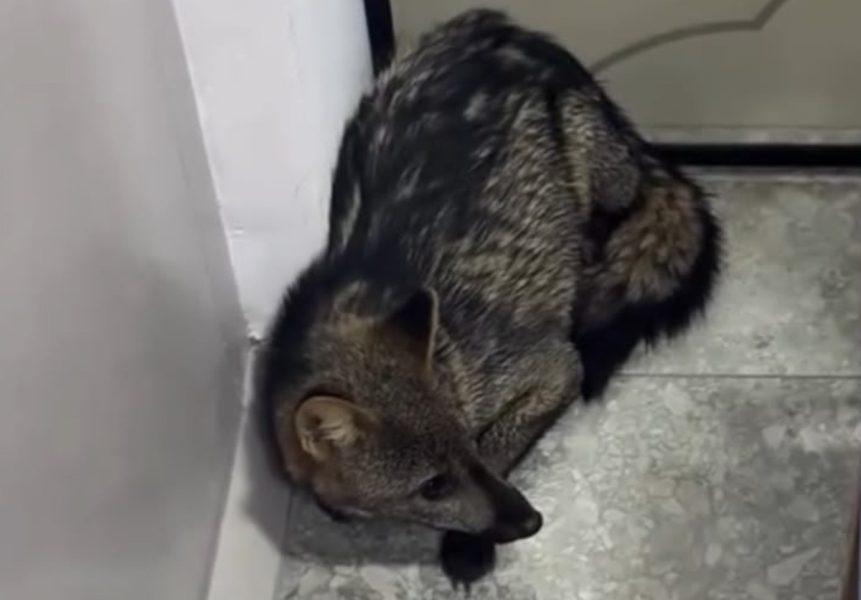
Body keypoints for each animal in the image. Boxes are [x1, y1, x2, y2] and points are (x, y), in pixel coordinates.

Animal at [258, 9, 721, 587]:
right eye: (432, 485)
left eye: (468, 441)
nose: (532, 521)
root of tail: (499, 24)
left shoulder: (552, 366)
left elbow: (508, 441)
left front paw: (467, 544)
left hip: (595, 175)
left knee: (615, 216)